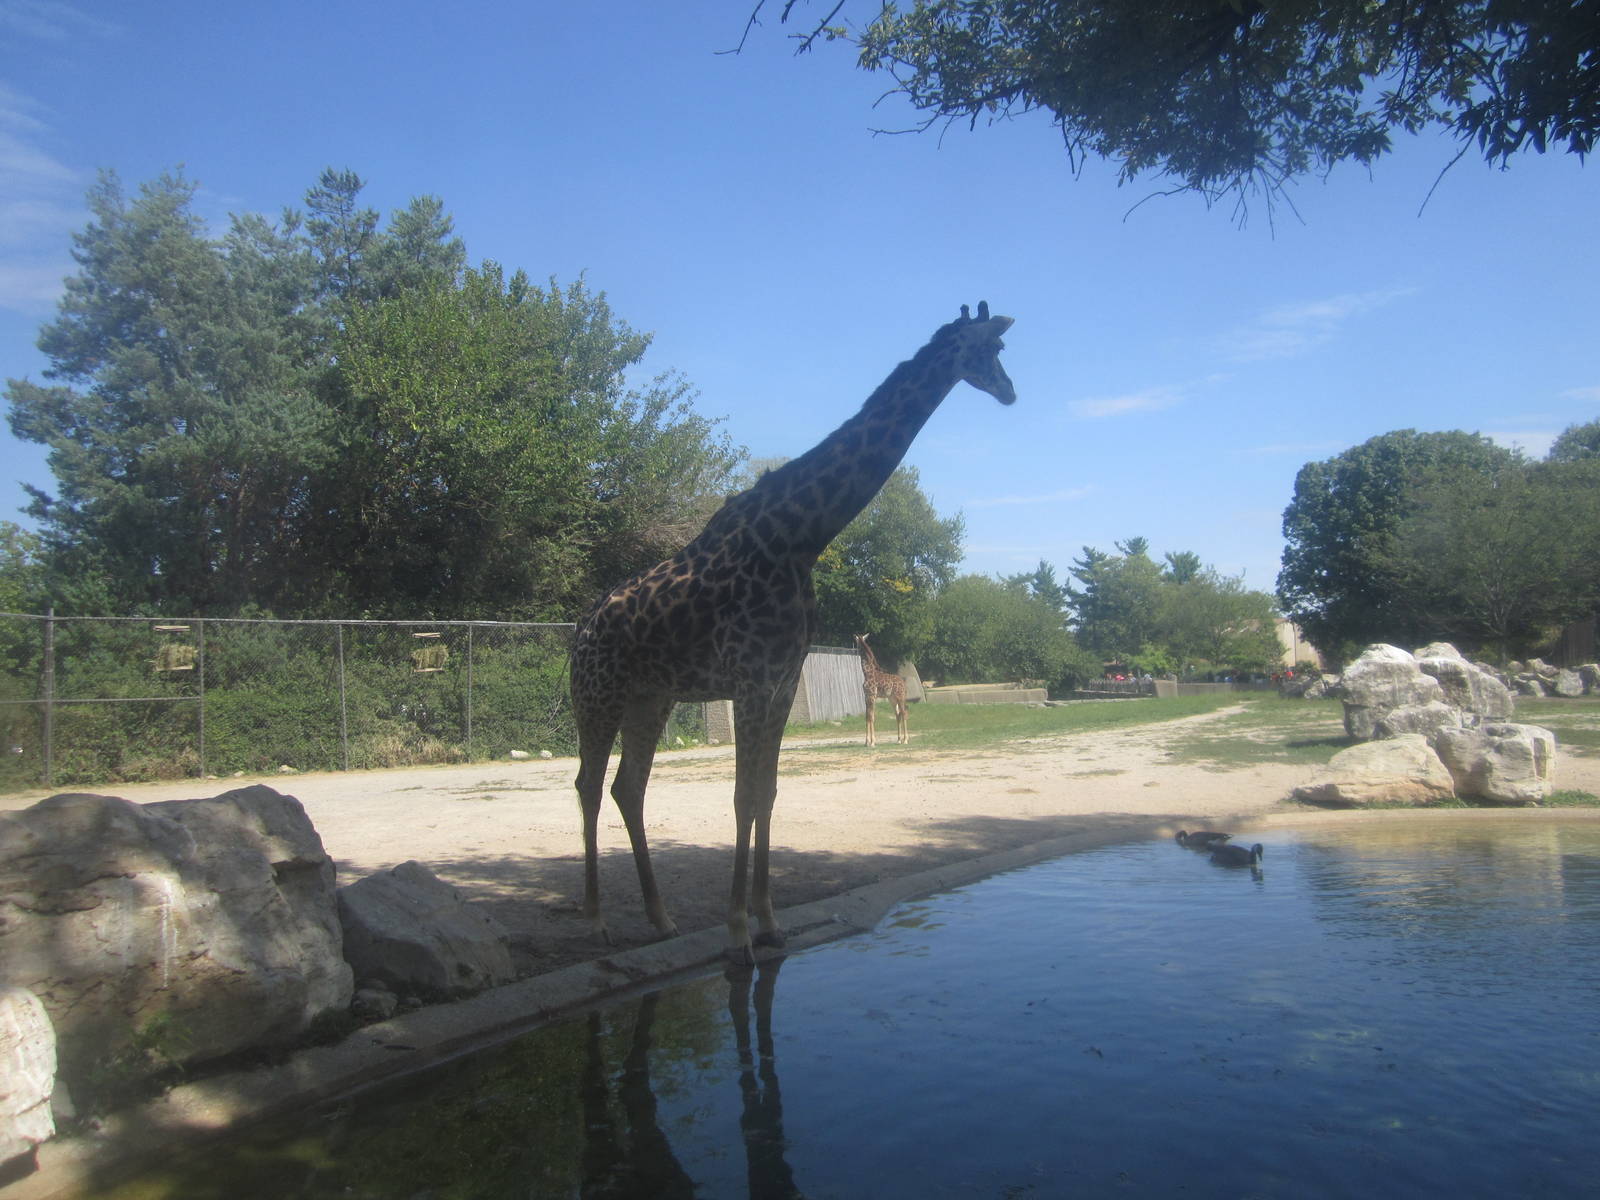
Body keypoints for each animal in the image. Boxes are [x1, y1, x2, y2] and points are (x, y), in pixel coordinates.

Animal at [570, 302, 1016, 963]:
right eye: (987, 349)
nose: (1010, 391)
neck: (800, 535)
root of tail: (579, 630)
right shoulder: (752, 681)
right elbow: (741, 796)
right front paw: (737, 931)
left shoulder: (781, 681)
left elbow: (768, 793)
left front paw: (769, 921)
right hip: (597, 695)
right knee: (590, 785)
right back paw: (597, 923)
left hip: (652, 697)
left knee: (630, 788)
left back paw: (661, 919)